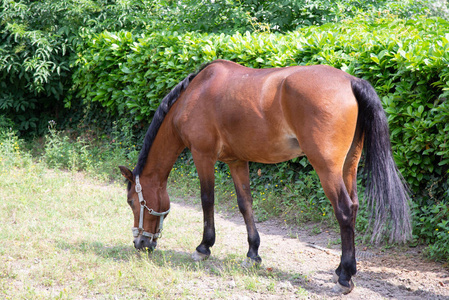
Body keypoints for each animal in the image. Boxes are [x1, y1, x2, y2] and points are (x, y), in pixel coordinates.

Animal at [118, 59, 410, 294]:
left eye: (132, 202)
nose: (140, 243)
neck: (194, 94)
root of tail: (351, 81)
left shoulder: (203, 156)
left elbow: (207, 200)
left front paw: (204, 247)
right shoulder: (237, 161)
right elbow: (245, 204)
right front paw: (253, 254)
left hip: (327, 168)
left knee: (345, 211)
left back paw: (345, 277)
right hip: (349, 165)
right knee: (355, 207)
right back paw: (341, 269)